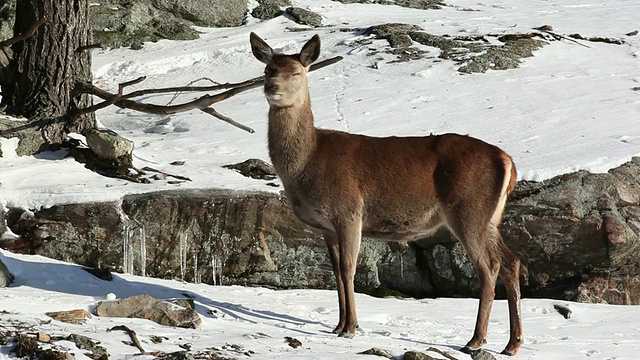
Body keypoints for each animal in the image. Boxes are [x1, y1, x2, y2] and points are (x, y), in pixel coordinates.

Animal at [250, 32, 524, 356]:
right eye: (268, 69)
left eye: (296, 72)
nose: (272, 88)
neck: (307, 162)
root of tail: (507, 162)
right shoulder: (326, 226)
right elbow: (335, 271)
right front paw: (338, 325)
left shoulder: (348, 210)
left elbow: (348, 269)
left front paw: (351, 327)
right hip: (490, 217)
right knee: (511, 262)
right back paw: (512, 343)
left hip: (469, 209)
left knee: (489, 266)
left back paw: (476, 340)